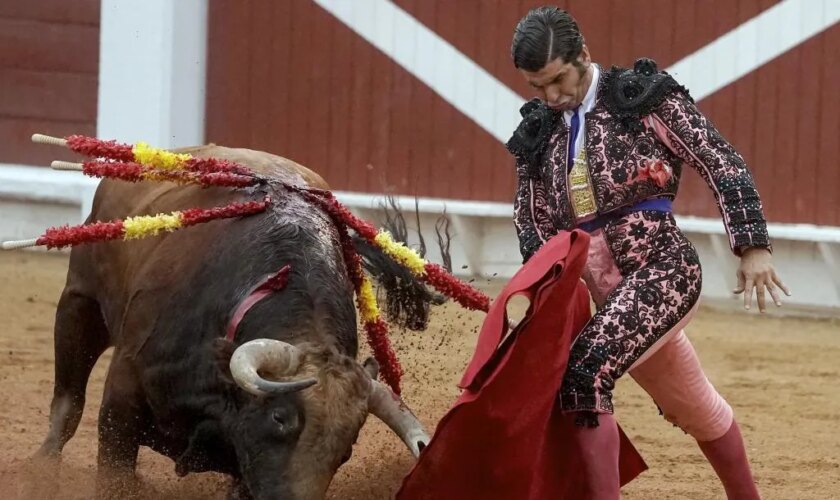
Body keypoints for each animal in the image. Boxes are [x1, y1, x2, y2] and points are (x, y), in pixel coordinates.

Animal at [31, 144, 440, 496]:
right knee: (68, 402)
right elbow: (113, 469)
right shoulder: (122, 401)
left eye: (346, 449)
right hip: (80, 302)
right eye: (279, 417)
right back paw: (40, 469)